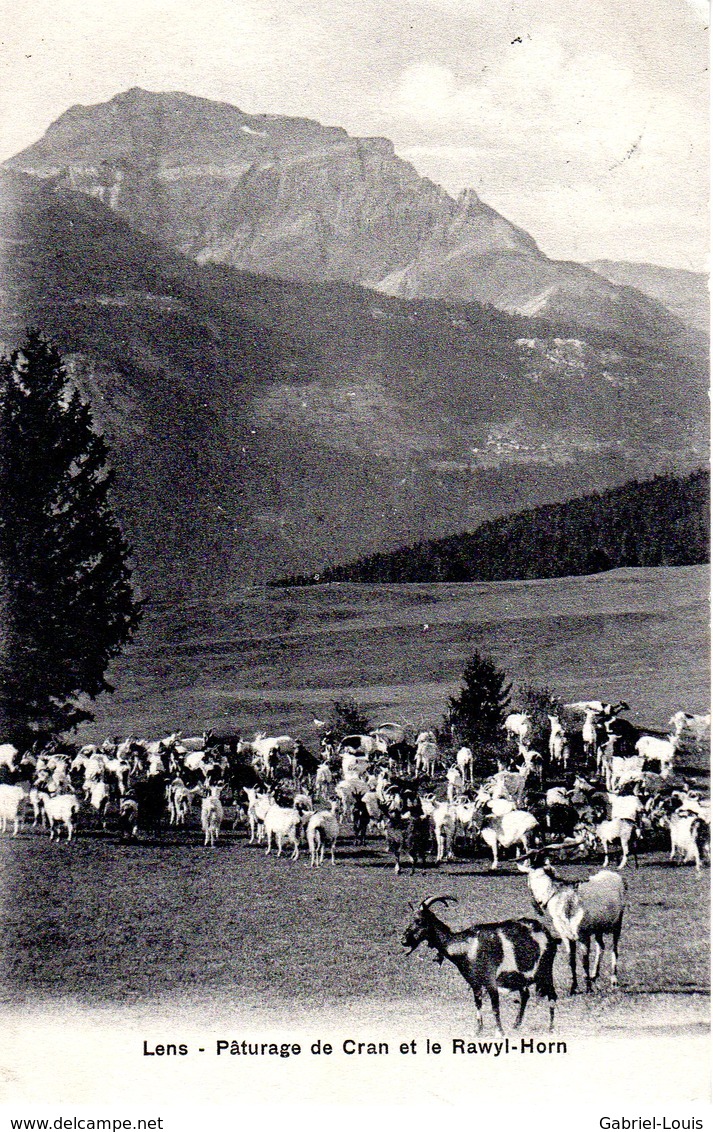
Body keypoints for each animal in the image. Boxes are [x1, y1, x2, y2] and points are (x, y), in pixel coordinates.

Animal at [402, 892, 559, 1036]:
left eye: (420, 921)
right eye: (411, 920)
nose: (404, 941)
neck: (468, 946)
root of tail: (548, 934)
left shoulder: (490, 981)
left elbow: (495, 1007)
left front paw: (499, 1032)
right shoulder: (475, 983)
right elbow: (478, 1005)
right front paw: (478, 1031)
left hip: (545, 970)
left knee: (552, 995)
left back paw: (551, 1028)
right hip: (521, 977)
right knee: (525, 995)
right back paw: (516, 1025)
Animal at [516, 851, 629, 996]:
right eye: (531, 878)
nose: (539, 903)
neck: (566, 903)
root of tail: (617, 877)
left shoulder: (583, 935)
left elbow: (584, 960)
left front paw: (588, 988)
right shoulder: (566, 936)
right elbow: (571, 960)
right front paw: (573, 987)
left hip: (617, 923)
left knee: (614, 949)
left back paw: (613, 980)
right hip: (598, 928)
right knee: (601, 946)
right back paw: (594, 976)